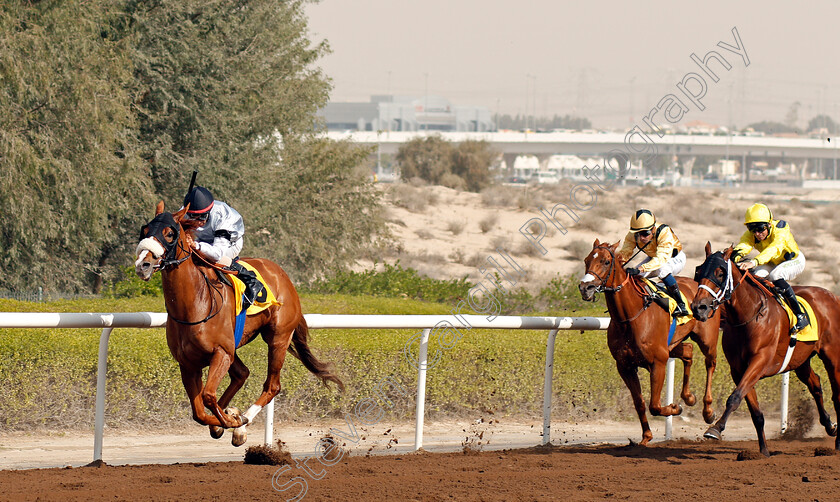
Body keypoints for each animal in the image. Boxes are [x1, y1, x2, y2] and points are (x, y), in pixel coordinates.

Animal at [134, 202, 342, 446]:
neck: (196, 303)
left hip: (277, 338)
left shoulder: (221, 352)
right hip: (235, 347)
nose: (143, 265)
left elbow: (208, 396)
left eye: (169, 234)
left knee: (272, 385)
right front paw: (226, 419)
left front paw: (234, 421)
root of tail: (283, 275)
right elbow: (199, 412)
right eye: (145, 231)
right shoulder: (188, 363)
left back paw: (243, 421)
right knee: (242, 373)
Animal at [576, 241, 720, 446]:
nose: (585, 287)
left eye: (605, 261)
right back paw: (689, 397)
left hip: (707, 340)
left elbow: (655, 406)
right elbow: (640, 403)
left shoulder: (658, 362)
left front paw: (675, 408)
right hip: (673, 345)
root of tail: (701, 287)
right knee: (688, 351)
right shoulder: (625, 367)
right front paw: (646, 437)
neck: (629, 318)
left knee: (710, 363)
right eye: (586, 260)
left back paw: (708, 411)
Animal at [688, 242, 840, 454]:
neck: (748, 316)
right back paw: (830, 426)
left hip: (833, 357)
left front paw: (715, 429)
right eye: (699, 270)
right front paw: (764, 451)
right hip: (801, 360)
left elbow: (734, 397)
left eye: (720, 273)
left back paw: (838, 442)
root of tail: (833, 296)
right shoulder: (739, 369)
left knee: (837, 394)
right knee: (815, 384)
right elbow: (755, 412)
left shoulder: (759, 362)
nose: (698, 308)